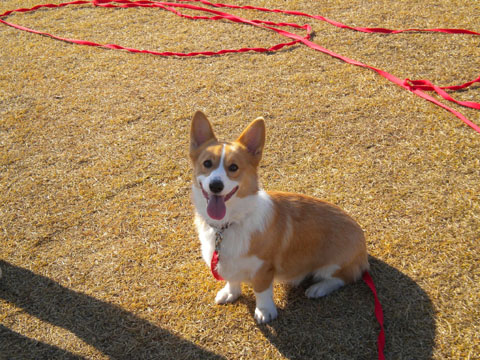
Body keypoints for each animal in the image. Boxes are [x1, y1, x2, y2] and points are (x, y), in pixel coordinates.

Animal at [189, 112, 370, 324]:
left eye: (233, 167)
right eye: (207, 163)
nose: (216, 186)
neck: (227, 224)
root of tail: (362, 241)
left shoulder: (263, 269)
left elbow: (261, 291)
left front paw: (265, 312)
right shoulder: (227, 263)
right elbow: (232, 279)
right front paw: (230, 293)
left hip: (333, 265)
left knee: (345, 277)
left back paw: (318, 288)